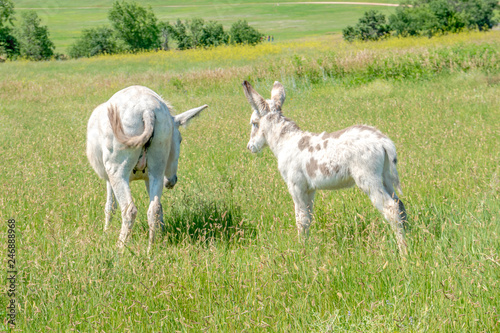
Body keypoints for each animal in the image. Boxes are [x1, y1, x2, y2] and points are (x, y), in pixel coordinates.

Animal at [240, 80, 408, 254]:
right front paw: (306, 246)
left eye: (254, 123)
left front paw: (301, 249)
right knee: (400, 205)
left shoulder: (296, 186)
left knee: (390, 208)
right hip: (385, 177)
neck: (285, 142)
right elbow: (308, 217)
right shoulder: (309, 189)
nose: (249, 147)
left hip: (368, 179)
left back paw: (403, 252)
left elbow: (301, 219)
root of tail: (383, 141)